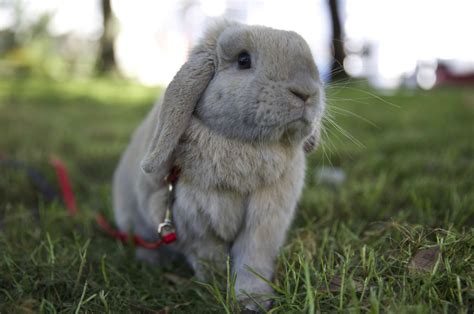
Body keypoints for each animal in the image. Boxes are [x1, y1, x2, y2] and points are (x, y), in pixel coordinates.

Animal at [113, 20, 324, 312]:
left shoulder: (265, 220)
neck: (246, 145)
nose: (307, 92)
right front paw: (216, 288)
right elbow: (209, 259)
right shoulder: (194, 222)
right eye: (243, 60)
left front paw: (252, 300)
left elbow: (253, 259)